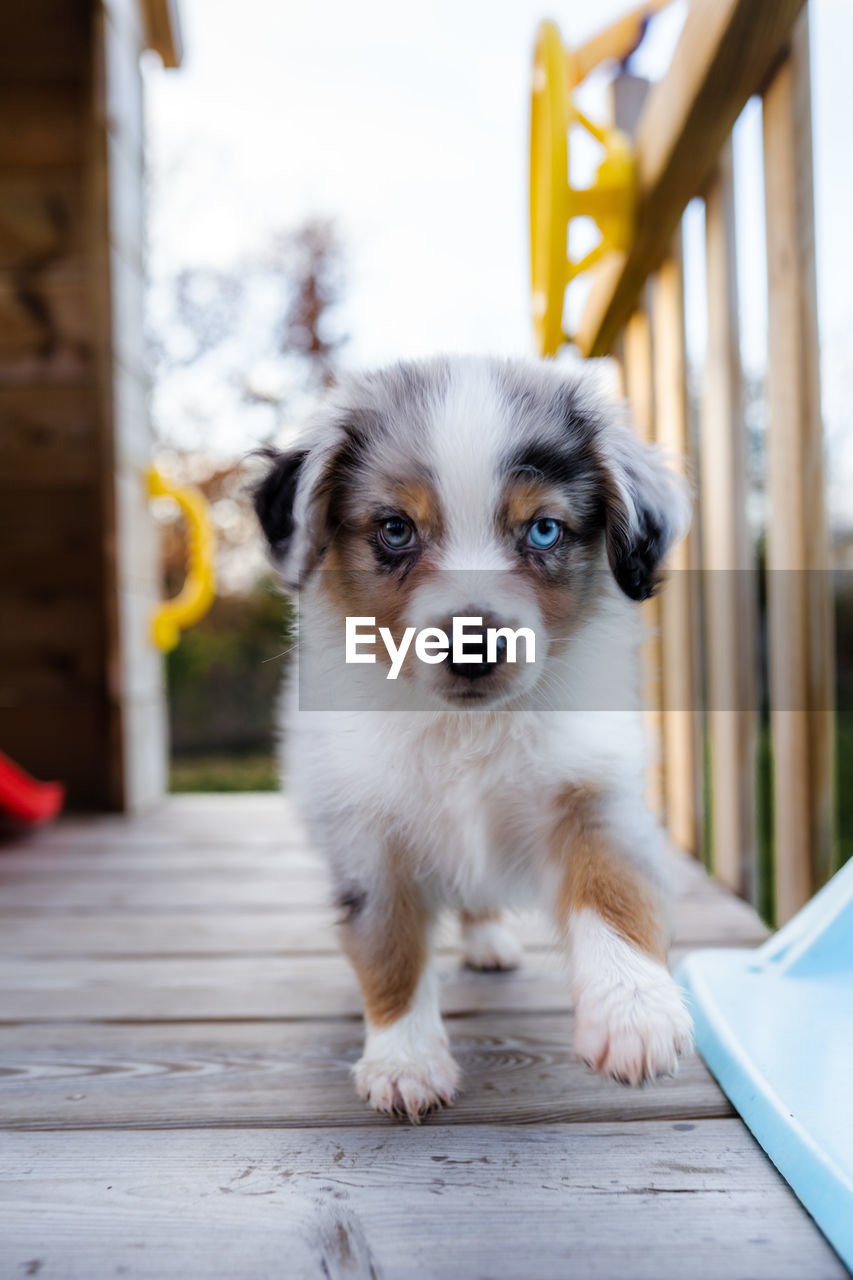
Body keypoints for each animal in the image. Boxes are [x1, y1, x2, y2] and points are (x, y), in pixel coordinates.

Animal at [252, 353, 691, 1121]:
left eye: (542, 531)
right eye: (396, 530)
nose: (473, 644)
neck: (466, 728)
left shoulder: (593, 790)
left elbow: (614, 888)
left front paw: (635, 1012)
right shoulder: (366, 833)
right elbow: (391, 944)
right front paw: (404, 1060)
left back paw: (491, 941)